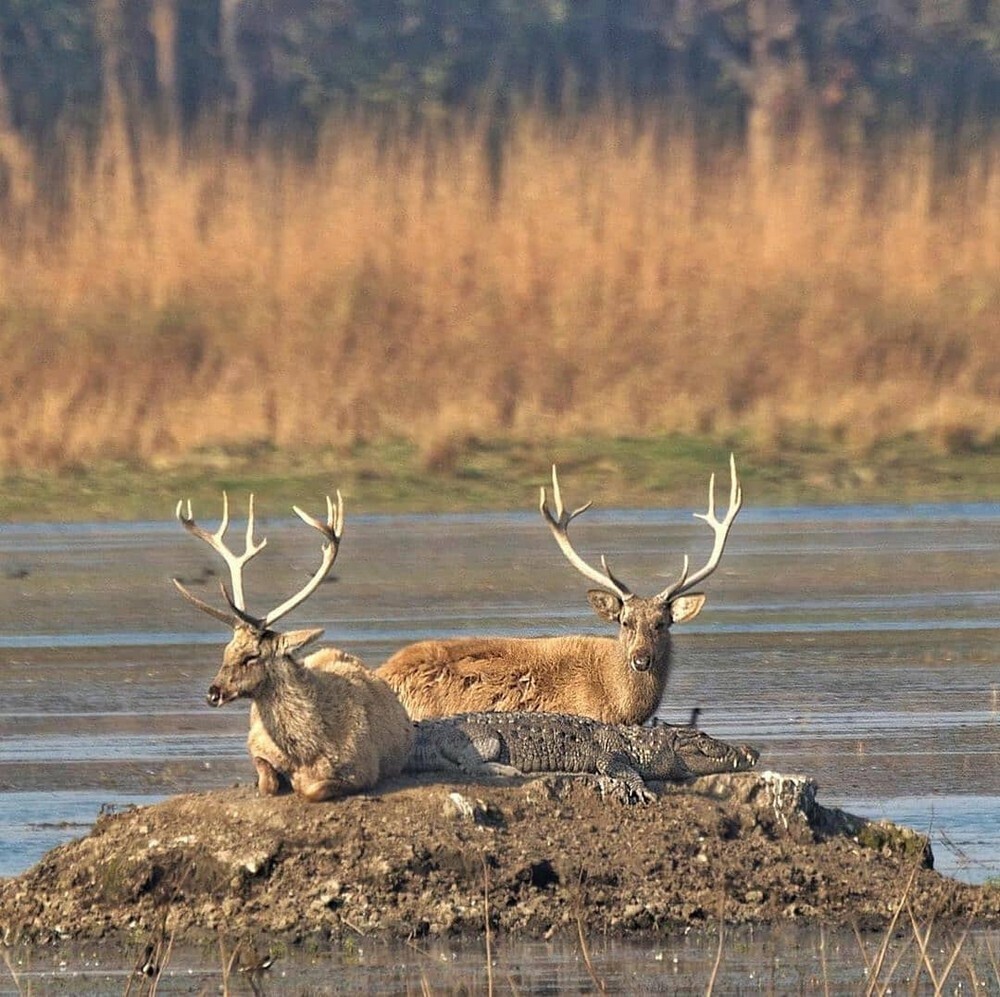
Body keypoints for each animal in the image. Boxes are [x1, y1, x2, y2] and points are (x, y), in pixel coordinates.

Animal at [172, 490, 410, 800]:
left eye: (251, 656)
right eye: (225, 651)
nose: (213, 693)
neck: (307, 752)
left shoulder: (365, 770)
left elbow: (312, 789)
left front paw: (299, 783)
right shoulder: (256, 744)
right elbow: (267, 782)